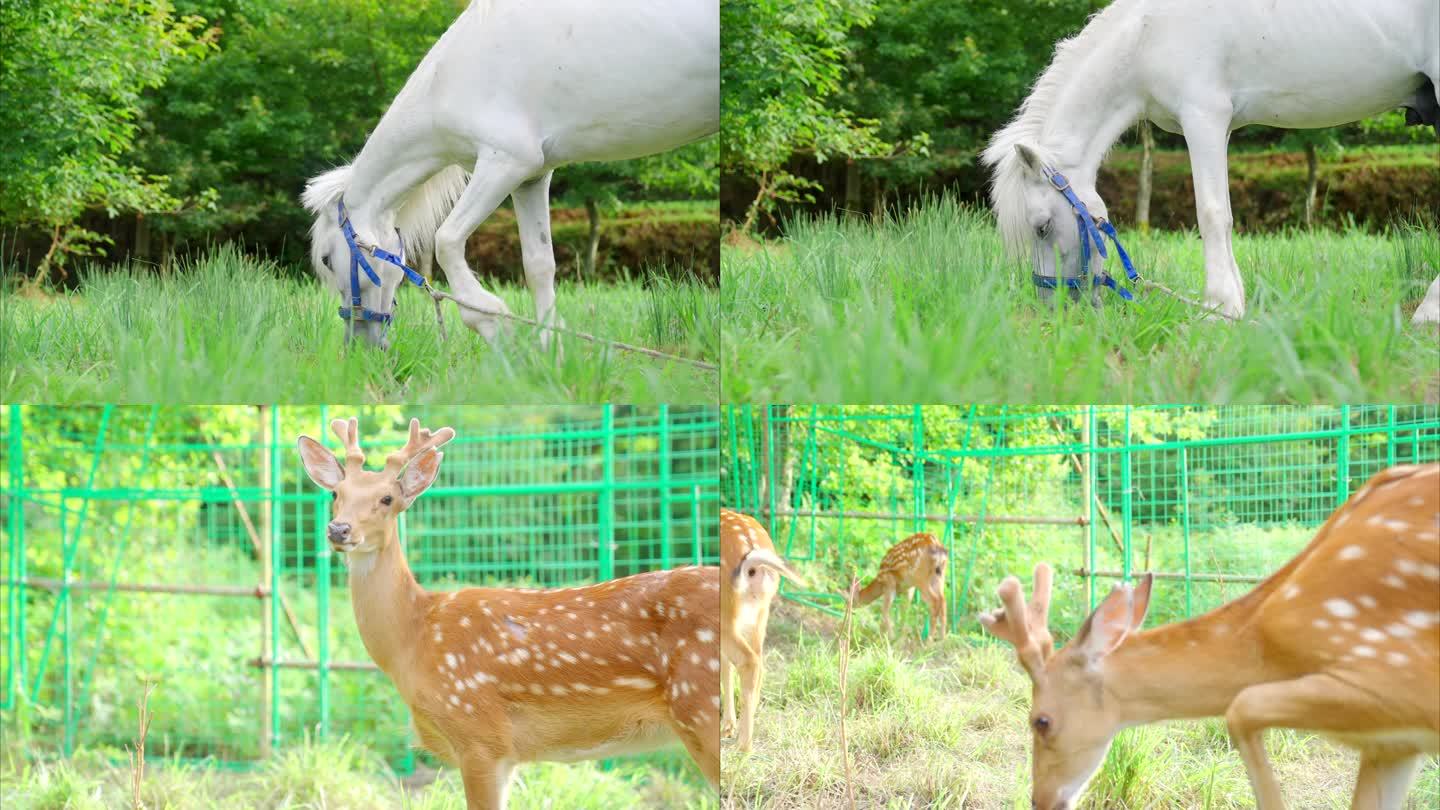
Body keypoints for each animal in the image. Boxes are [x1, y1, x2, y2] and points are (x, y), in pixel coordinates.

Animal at [296, 415, 720, 807]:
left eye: (387, 499)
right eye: (335, 493)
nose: (339, 529)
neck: (414, 639)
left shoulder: (479, 733)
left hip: (701, 706)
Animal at [299, 0, 720, 345]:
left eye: (326, 260)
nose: (359, 343)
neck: (452, 75)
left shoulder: (504, 163)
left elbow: (446, 240)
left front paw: (491, 319)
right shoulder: (531, 177)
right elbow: (539, 266)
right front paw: (550, 358)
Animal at [720, 510, 812, 749]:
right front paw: (727, 726)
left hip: (728, 615)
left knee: (749, 662)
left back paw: (743, 745)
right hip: (760, 614)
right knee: (758, 662)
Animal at [979, 461, 1440, 807]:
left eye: (1040, 721)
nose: (1040, 799)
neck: (1270, 643)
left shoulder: (1401, 674)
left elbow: (1240, 708)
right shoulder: (1391, 745)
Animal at [984, 0, 1440, 321]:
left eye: (1041, 227)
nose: (1052, 307)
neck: (1147, 33)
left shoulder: (1203, 115)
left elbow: (1211, 213)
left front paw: (1218, 307)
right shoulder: (1219, 127)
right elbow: (1225, 214)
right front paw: (1234, 302)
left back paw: (1427, 312)